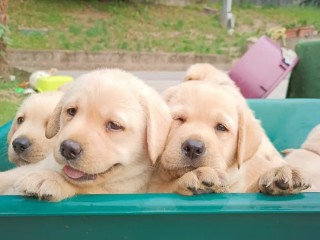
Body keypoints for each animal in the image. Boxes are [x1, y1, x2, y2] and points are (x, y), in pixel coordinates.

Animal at [0, 69, 171, 201]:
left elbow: (82, 188)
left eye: (114, 126)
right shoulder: (29, 167)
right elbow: (7, 176)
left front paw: (50, 179)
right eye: (71, 111)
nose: (68, 148)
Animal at [149, 65, 310, 195]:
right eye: (178, 119)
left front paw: (278, 175)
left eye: (221, 127)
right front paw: (196, 176)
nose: (193, 147)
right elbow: (165, 189)